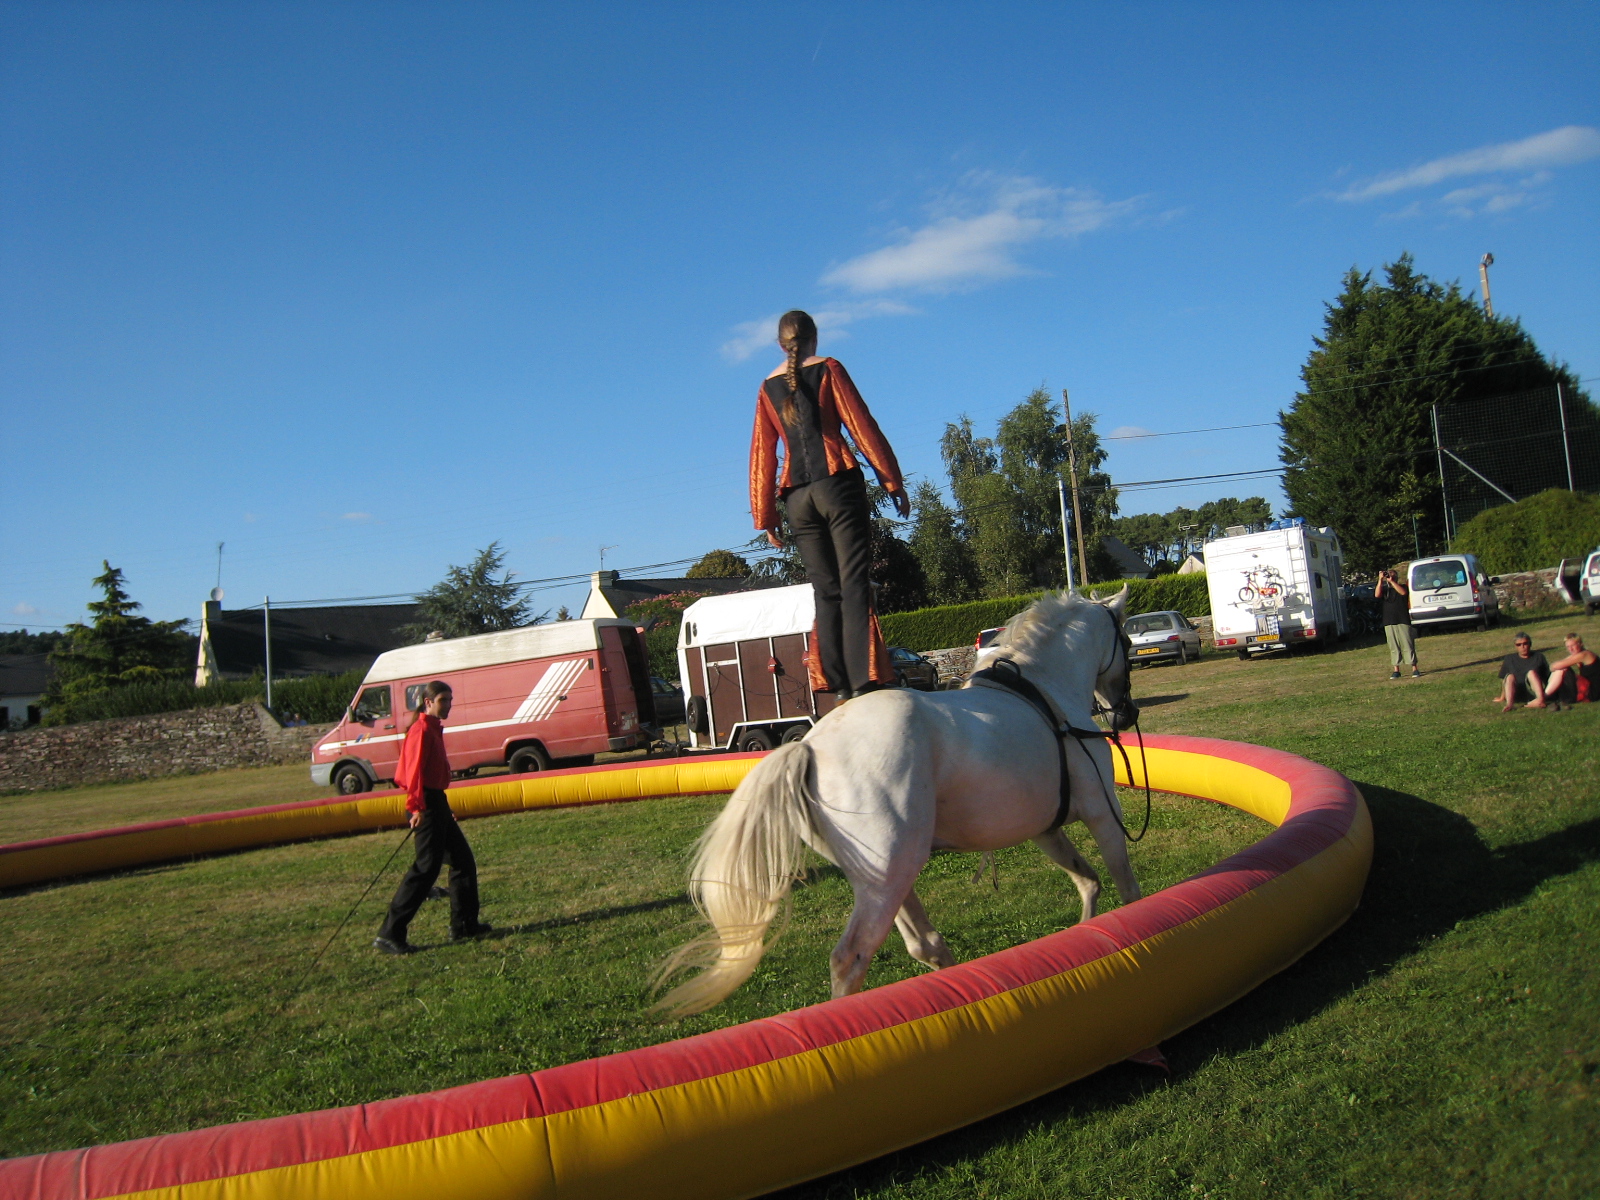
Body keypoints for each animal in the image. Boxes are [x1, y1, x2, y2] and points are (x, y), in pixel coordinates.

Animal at [655, 586, 1142, 1018]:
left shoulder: (1045, 830)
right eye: (1127, 641)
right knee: (851, 958)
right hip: (888, 878)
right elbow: (1126, 889)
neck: (1045, 687)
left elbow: (1089, 883)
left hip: (889, 875)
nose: (1126, 713)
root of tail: (808, 748)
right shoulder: (1103, 814)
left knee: (925, 944)